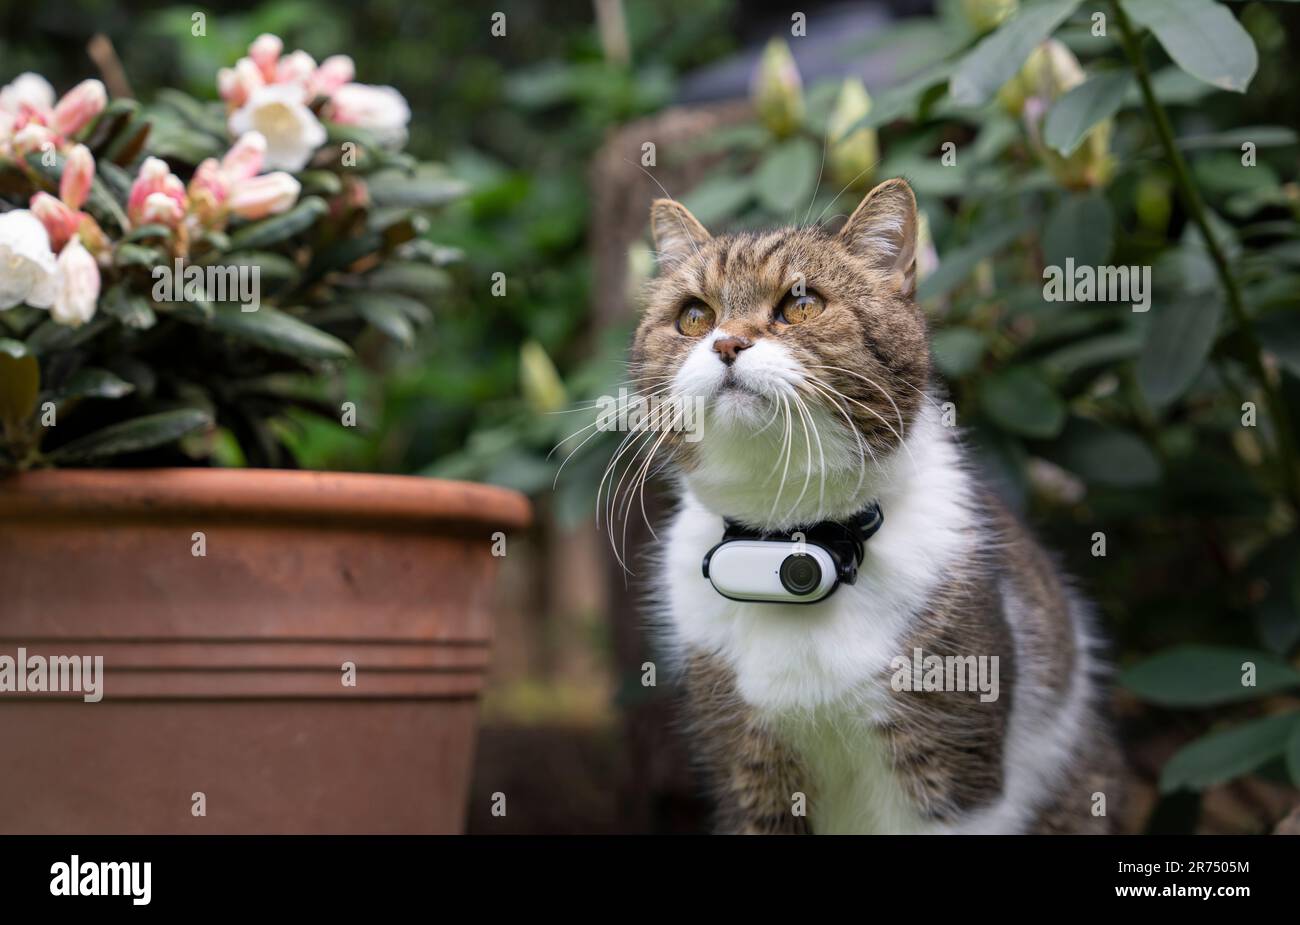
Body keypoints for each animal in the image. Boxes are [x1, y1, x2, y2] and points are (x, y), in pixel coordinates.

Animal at [624, 176, 1123, 836]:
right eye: (694, 316)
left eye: (801, 305)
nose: (726, 341)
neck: (788, 542)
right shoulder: (747, 767)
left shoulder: (952, 762)